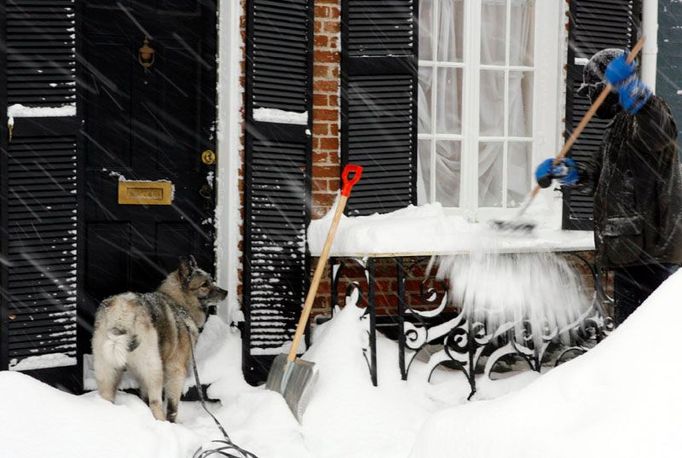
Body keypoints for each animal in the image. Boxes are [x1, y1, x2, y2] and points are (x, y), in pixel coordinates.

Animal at [91, 254, 226, 422]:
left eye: (211, 281)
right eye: (204, 285)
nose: (226, 292)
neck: (179, 304)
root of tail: (122, 310)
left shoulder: (141, 377)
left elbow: (145, 397)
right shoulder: (176, 371)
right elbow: (172, 406)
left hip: (108, 371)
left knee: (107, 396)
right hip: (154, 369)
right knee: (155, 402)